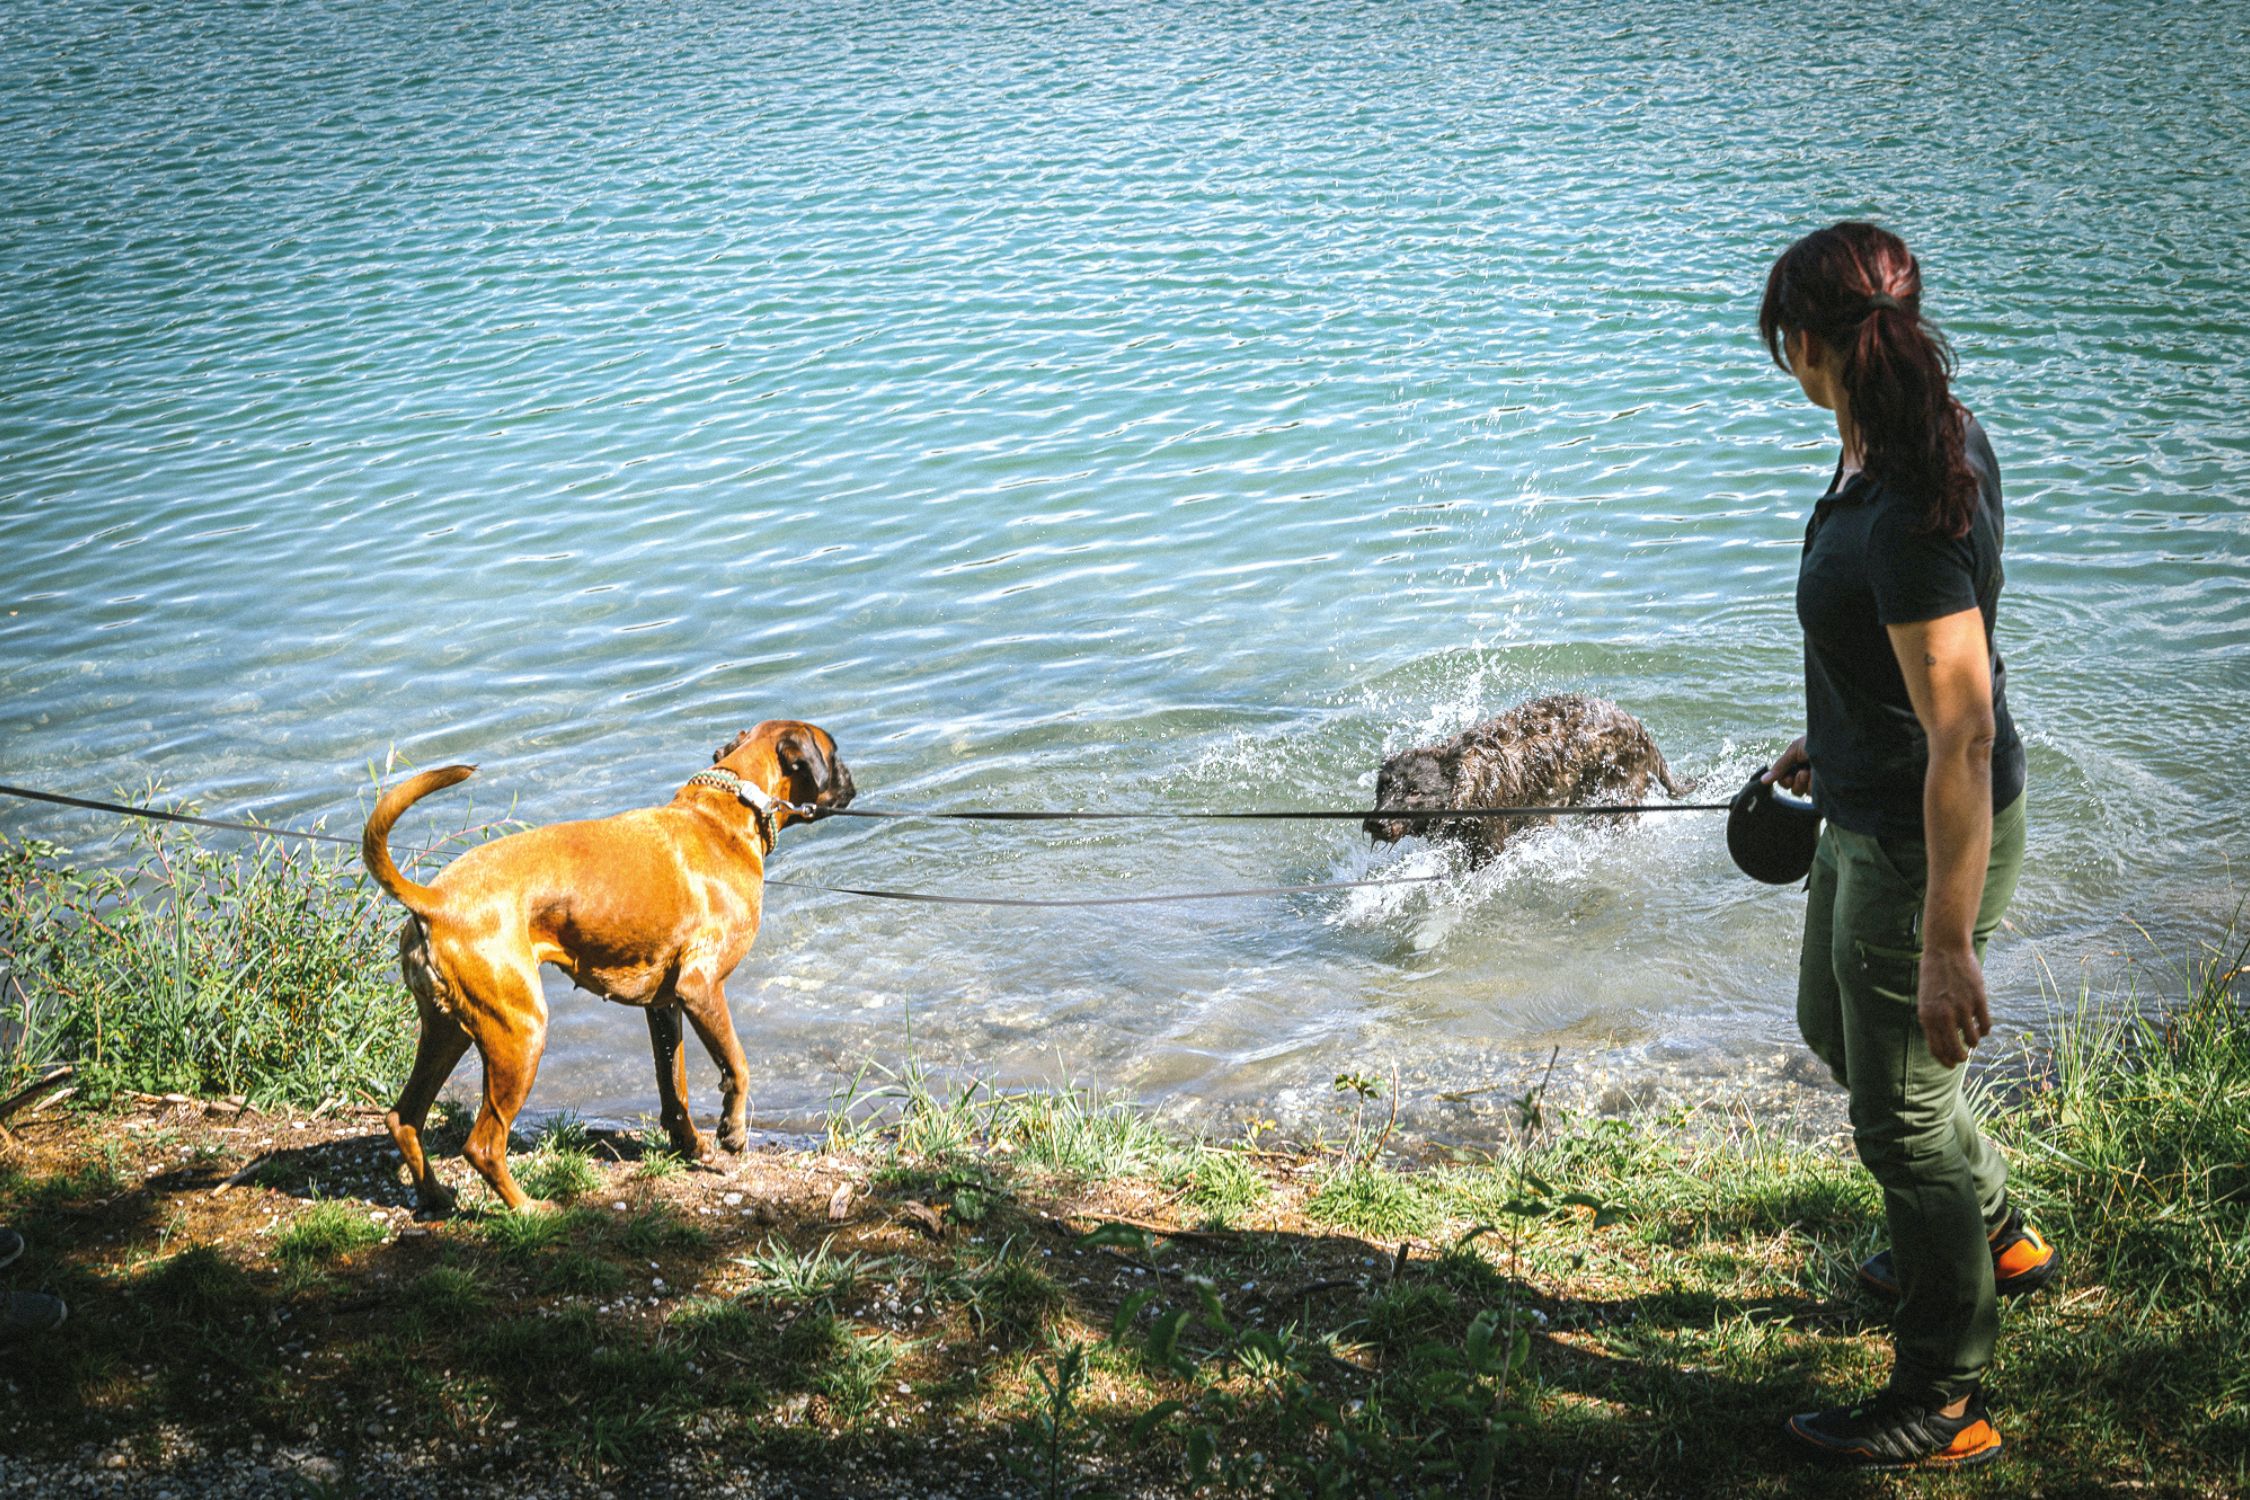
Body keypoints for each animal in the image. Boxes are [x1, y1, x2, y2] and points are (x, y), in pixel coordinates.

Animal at [360, 719, 850, 1214]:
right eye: (834, 753)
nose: (852, 780)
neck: (724, 814)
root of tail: (436, 901)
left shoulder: (664, 1006)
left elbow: (674, 1086)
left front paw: (690, 1144)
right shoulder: (701, 988)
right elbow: (737, 1065)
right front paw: (732, 1132)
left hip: (449, 1031)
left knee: (404, 1117)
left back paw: (435, 1194)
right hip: (519, 1033)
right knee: (482, 1144)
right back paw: (529, 1209)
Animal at [1359, 697, 1683, 863]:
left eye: (1415, 792)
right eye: (1384, 787)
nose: (1377, 823)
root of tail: (1638, 728)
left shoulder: (1491, 845)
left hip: (1614, 799)